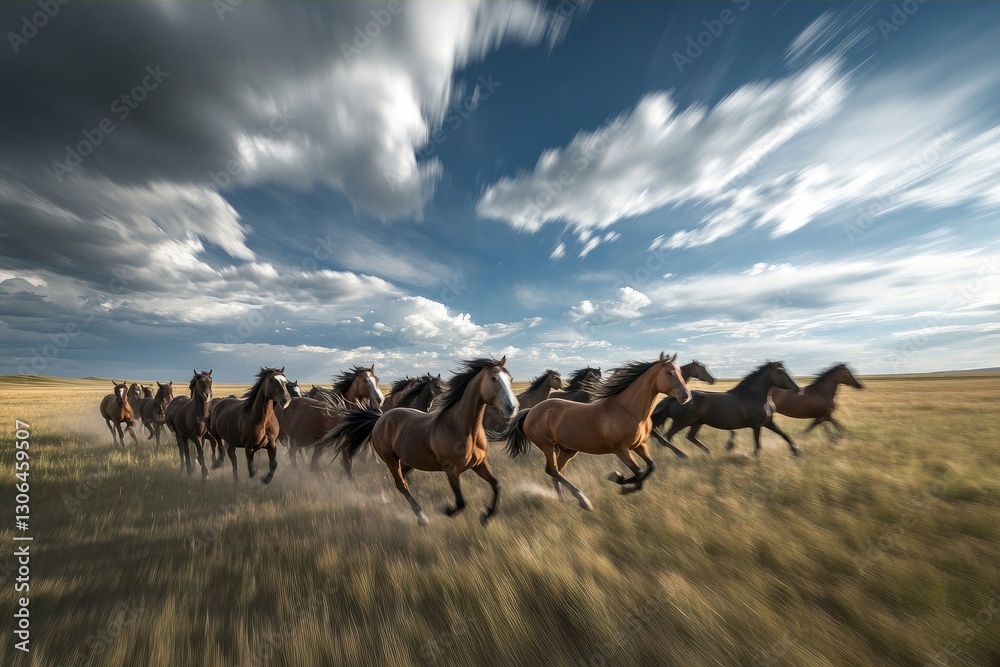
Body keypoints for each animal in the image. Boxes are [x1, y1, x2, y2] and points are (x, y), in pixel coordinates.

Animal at [323, 357, 518, 526]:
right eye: (493, 379)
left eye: (510, 378)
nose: (512, 407)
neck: (461, 427)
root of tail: (380, 418)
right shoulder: (452, 470)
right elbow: (461, 502)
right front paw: (446, 510)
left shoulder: (480, 464)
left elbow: (497, 485)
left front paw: (486, 516)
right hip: (390, 459)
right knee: (401, 484)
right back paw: (421, 516)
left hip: (408, 460)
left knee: (403, 479)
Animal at [494, 353, 690, 508]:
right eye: (669, 373)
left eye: (681, 372)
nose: (686, 396)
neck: (627, 409)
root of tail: (531, 411)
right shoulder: (621, 449)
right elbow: (640, 472)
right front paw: (618, 479)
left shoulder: (639, 446)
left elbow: (650, 468)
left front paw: (626, 486)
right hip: (547, 445)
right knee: (553, 471)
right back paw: (583, 500)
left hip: (567, 449)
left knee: (557, 472)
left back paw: (563, 499)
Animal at [649, 361, 802, 457]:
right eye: (781, 372)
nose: (798, 389)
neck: (754, 397)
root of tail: (671, 399)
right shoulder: (756, 425)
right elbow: (758, 445)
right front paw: (753, 457)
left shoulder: (768, 422)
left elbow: (784, 435)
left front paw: (797, 452)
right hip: (681, 422)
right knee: (666, 437)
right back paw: (674, 455)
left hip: (697, 423)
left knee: (689, 437)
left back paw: (708, 452)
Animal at [726, 363, 864, 447]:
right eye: (848, 372)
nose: (859, 385)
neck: (822, 393)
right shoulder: (824, 414)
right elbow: (833, 426)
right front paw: (836, 438)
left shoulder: (822, 415)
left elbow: (815, 426)